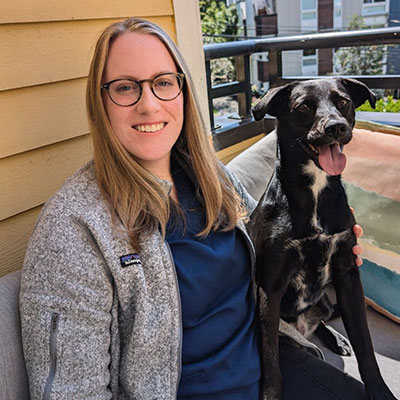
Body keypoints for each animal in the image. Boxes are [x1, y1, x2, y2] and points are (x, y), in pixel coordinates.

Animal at [250, 77, 396, 400]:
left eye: (343, 102)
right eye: (304, 106)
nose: (336, 127)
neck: (316, 189)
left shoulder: (347, 274)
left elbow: (365, 345)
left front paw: (380, 391)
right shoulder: (270, 287)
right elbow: (270, 353)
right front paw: (271, 393)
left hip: (327, 301)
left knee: (326, 320)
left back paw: (335, 338)